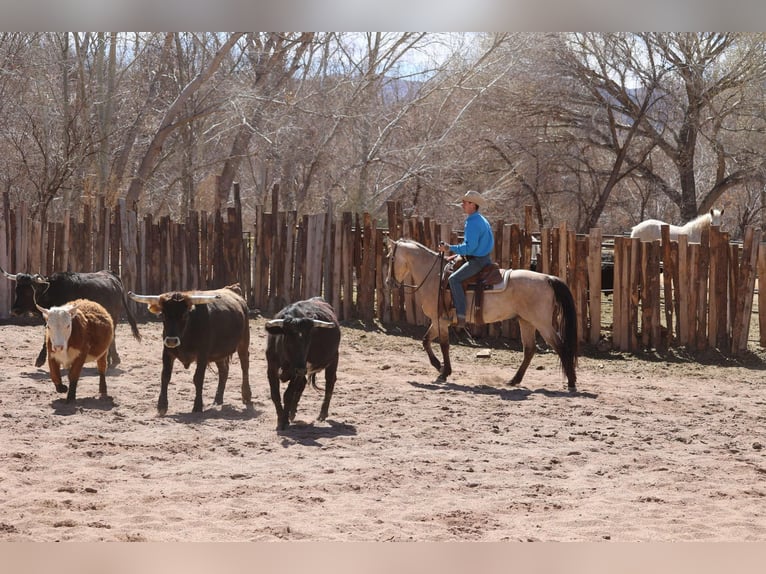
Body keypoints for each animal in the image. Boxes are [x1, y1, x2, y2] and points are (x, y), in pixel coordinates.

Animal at [0, 266, 142, 368]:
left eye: (29, 292)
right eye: (17, 290)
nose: (14, 310)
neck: (52, 291)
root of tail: (112, 275)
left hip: (114, 315)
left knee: (111, 336)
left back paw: (110, 359)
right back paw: (113, 359)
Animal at [129, 284, 252, 416]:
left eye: (184, 315)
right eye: (163, 315)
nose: (172, 341)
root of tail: (232, 290)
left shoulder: (202, 355)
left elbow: (198, 378)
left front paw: (197, 406)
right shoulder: (167, 352)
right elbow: (165, 376)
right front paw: (162, 405)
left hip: (243, 343)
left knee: (245, 366)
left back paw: (246, 395)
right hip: (219, 353)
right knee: (223, 371)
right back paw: (217, 399)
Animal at [268, 296, 344, 432]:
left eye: (309, 340)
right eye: (289, 338)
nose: (300, 369)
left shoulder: (297, 371)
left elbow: (288, 395)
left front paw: (283, 421)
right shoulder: (271, 368)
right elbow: (275, 394)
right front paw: (281, 419)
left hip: (333, 358)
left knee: (330, 382)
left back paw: (322, 414)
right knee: (302, 384)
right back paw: (292, 413)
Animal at [384, 237, 576, 392]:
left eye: (390, 258)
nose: (388, 282)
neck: (435, 277)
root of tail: (547, 279)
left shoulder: (441, 321)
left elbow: (444, 345)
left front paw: (443, 371)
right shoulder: (437, 321)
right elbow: (426, 340)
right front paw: (439, 366)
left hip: (542, 324)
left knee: (561, 347)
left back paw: (572, 383)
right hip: (526, 322)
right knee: (529, 350)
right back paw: (514, 380)